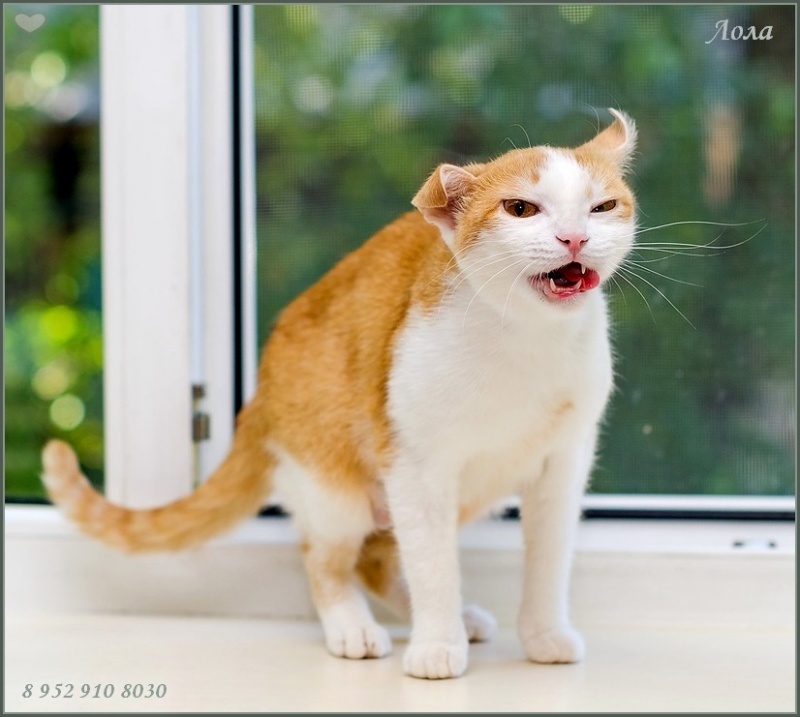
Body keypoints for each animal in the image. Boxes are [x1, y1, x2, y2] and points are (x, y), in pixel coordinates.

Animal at [42, 108, 637, 680]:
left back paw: (453, 619)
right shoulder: (415, 464)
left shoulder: (564, 463)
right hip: (336, 486)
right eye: (520, 209)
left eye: (603, 206)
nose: (574, 238)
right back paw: (357, 627)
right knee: (328, 558)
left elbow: (548, 559)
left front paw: (542, 634)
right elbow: (433, 565)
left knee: (378, 558)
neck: (528, 341)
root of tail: (258, 399)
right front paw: (435, 646)